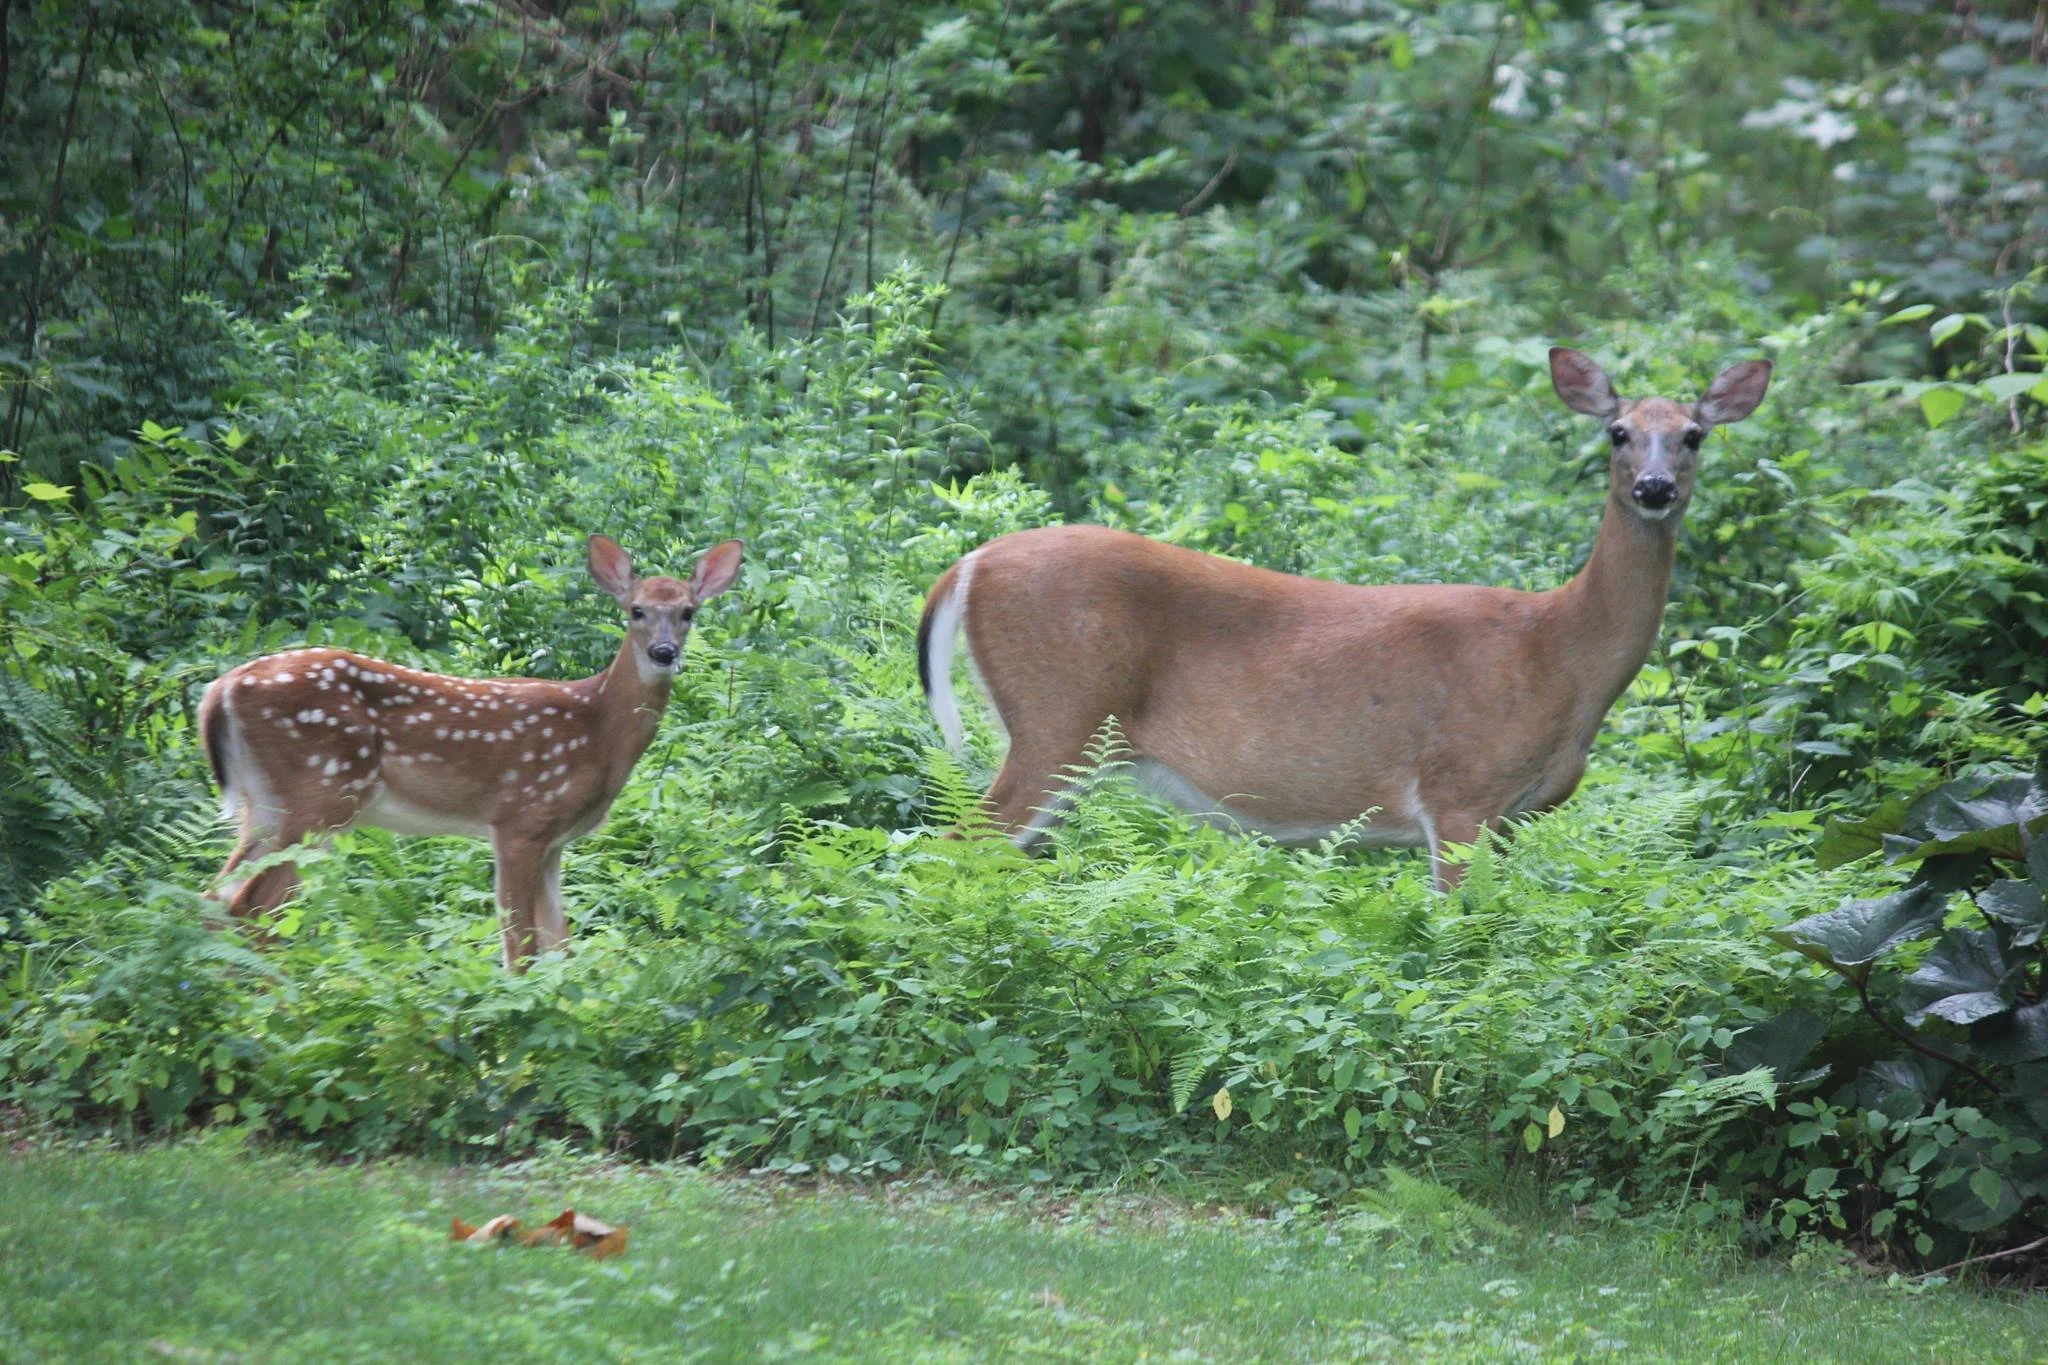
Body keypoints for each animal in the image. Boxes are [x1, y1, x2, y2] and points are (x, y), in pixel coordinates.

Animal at [197, 535, 744, 970]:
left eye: (688, 612)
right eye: (636, 611)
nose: (664, 653)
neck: (596, 732)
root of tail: (220, 691)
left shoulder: (555, 841)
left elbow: (560, 945)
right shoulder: (520, 821)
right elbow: (521, 948)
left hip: (267, 806)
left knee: (215, 899)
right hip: (320, 794)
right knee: (251, 907)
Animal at [916, 348, 1771, 888]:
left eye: (1694, 435)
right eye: (1618, 432)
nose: (1655, 488)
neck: (1558, 653)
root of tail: (969, 564)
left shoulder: (1516, 815)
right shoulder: (1460, 790)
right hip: (1056, 713)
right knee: (956, 846)